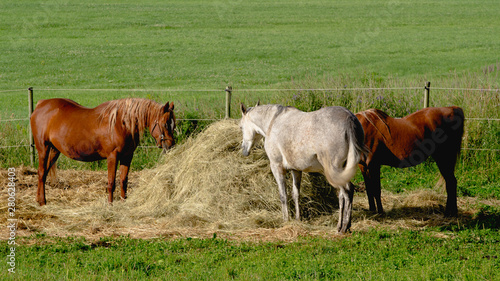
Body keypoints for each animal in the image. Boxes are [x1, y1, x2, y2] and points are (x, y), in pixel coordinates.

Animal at [30, 97, 176, 205]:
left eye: (173, 124)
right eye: (165, 124)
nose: (171, 145)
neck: (120, 123)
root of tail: (40, 104)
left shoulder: (127, 157)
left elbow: (123, 181)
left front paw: (123, 202)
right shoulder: (113, 156)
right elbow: (111, 182)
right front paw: (110, 204)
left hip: (54, 150)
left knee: (44, 172)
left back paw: (38, 199)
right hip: (43, 148)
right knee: (41, 172)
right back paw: (42, 201)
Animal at [238, 102, 368, 232]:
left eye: (241, 127)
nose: (244, 150)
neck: (273, 121)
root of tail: (349, 119)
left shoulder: (277, 167)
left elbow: (283, 195)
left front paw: (286, 220)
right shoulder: (296, 170)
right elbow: (296, 194)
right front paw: (297, 218)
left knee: (348, 190)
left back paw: (345, 227)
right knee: (342, 196)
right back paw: (340, 226)